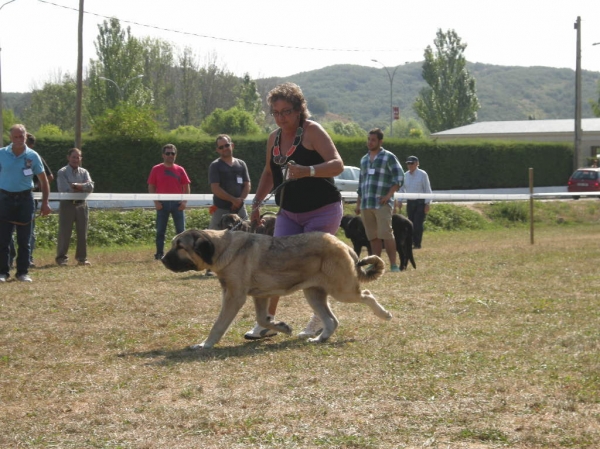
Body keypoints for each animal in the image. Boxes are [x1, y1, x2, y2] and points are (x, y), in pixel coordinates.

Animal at [161, 229, 394, 348]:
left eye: (180, 246)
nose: (162, 259)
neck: (223, 248)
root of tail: (344, 245)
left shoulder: (234, 297)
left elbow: (218, 325)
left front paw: (205, 344)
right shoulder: (260, 296)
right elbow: (263, 319)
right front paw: (282, 327)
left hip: (342, 290)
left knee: (366, 295)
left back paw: (384, 314)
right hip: (313, 294)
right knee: (331, 320)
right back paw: (320, 338)